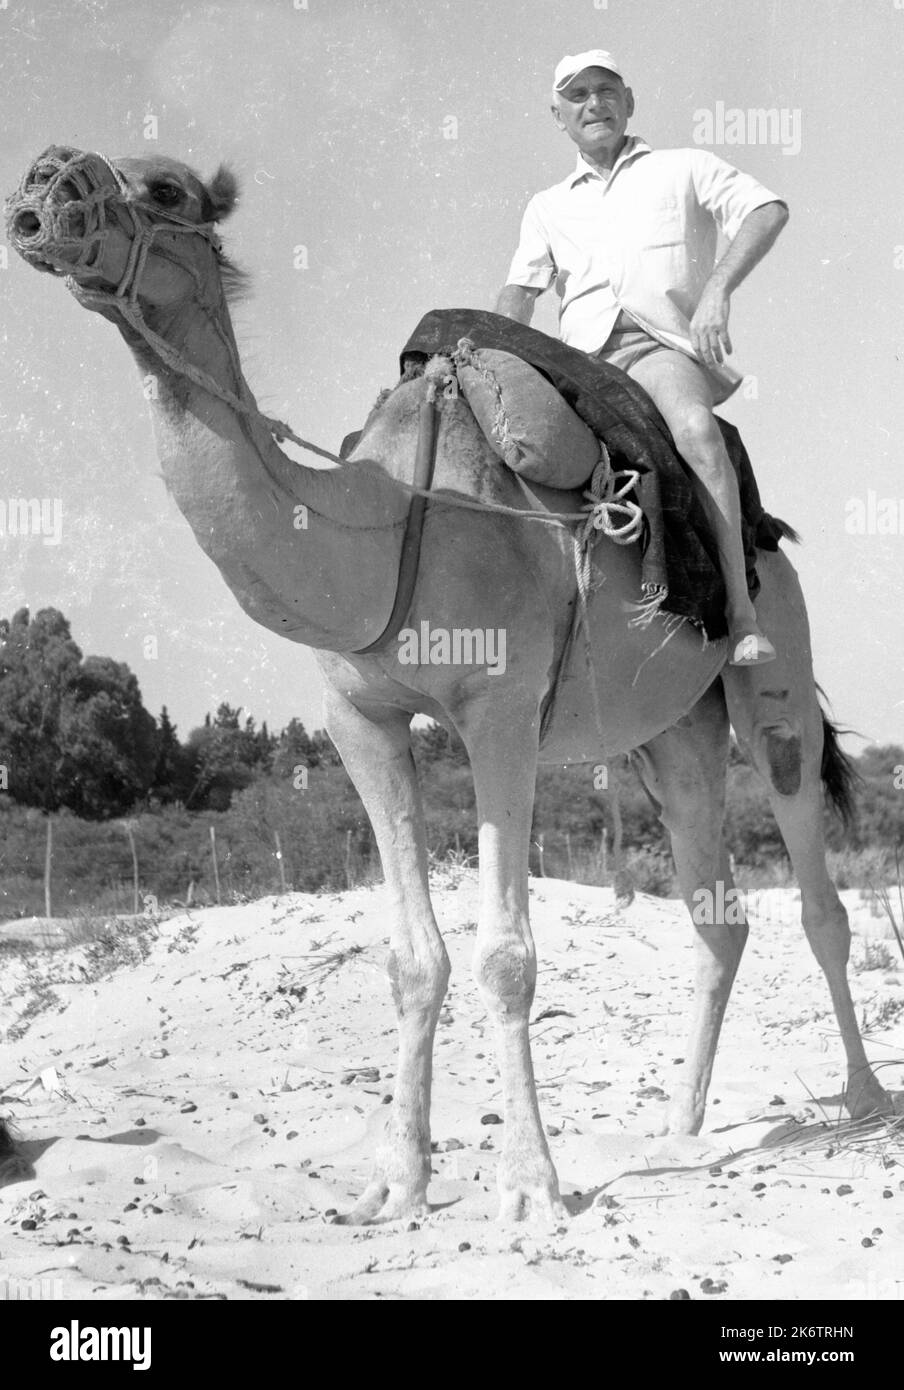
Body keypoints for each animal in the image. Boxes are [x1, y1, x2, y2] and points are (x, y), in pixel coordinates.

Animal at [1, 146, 884, 1223]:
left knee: (815, 883)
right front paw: (395, 1183)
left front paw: (531, 1186)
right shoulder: (359, 718)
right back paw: (679, 1125)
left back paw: (861, 1097)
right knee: (716, 912)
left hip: (776, 678)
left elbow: (506, 954)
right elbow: (410, 957)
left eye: (165, 188)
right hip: (668, 735)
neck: (390, 527)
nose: (42, 186)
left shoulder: (499, 711)